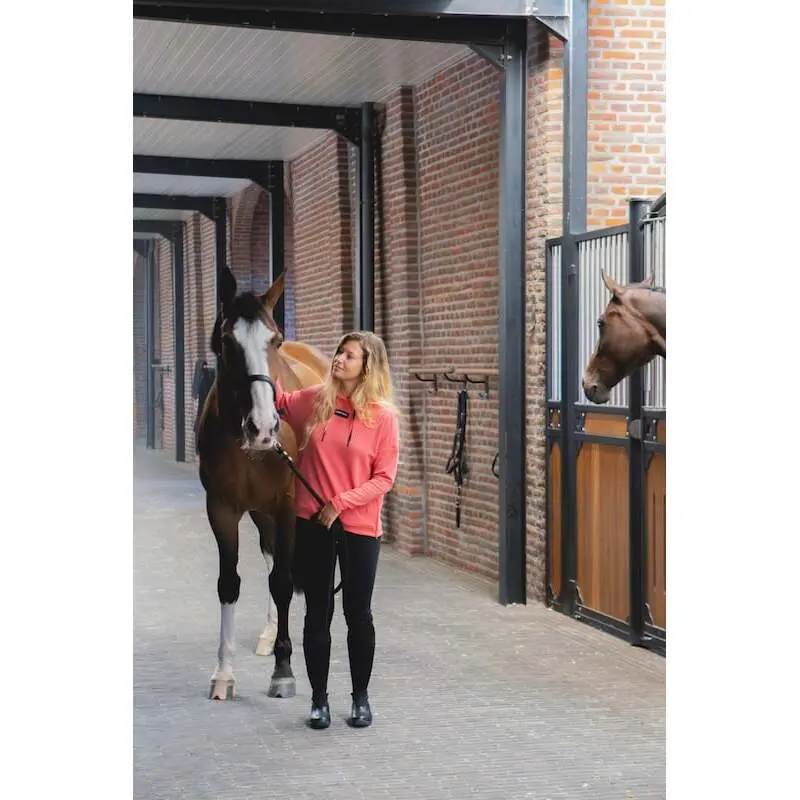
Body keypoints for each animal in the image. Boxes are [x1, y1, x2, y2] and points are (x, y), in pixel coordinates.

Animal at [196, 267, 329, 700]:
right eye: (227, 341)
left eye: (275, 340)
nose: (264, 428)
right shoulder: (222, 508)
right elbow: (229, 584)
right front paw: (223, 674)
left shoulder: (287, 504)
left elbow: (284, 583)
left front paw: (284, 671)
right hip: (260, 512)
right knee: (271, 556)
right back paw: (271, 635)